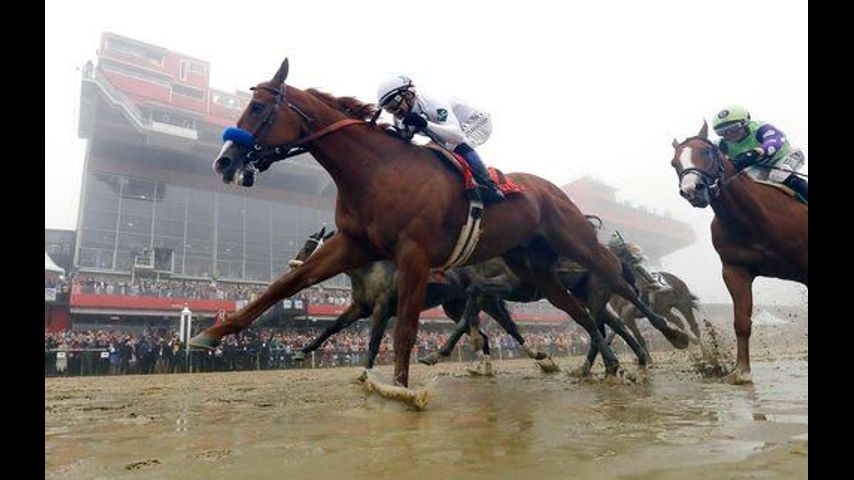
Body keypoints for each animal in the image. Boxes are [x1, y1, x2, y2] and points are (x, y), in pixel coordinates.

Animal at [189, 58, 690, 396]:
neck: (377, 170)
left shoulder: (413, 255)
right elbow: (286, 285)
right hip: (535, 268)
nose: (224, 161)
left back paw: (670, 333)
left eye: (257, 107)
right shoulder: (354, 244)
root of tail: (553, 191)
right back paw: (607, 364)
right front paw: (209, 334)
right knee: (581, 312)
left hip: (576, 242)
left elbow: (405, 329)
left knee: (616, 281)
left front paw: (399, 388)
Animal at [671, 121, 807, 384]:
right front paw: (741, 371)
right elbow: (741, 322)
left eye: (707, 151)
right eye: (674, 163)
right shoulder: (735, 270)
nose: (692, 189)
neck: (755, 219)